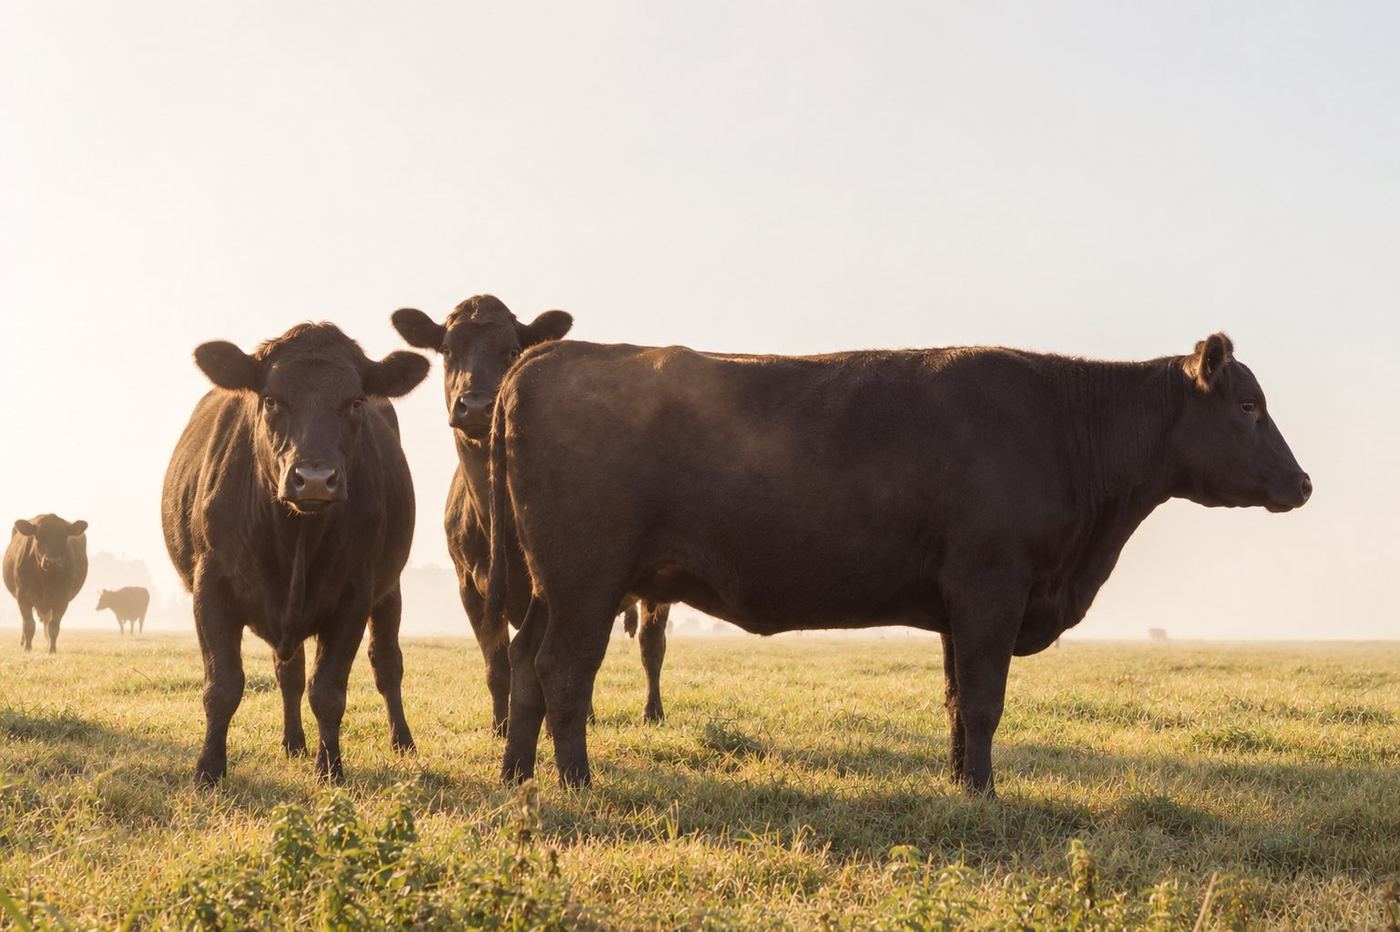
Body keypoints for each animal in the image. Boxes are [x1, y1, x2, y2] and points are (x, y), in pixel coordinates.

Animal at [4, 514, 88, 654]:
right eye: (38, 536)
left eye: (64, 536)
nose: (52, 562)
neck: (45, 578)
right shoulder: (23, 597)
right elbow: (29, 625)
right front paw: (27, 648)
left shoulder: (62, 599)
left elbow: (53, 626)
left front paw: (52, 650)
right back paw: (23, 643)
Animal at [161, 322, 429, 783]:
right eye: (271, 399)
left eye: (355, 401)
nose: (315, 479)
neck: (295, 535)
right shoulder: (210, 587)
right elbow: (223, 686)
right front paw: (209, 769)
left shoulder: (355, 595)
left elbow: (329, 691)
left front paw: (331, 769)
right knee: (289, 672)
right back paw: (292, 742)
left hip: (389, 590)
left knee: (386, 663)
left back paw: (402, 741)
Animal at [391, 295, 672, 730]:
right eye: (447, 350)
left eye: (511, 350)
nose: (476, 406)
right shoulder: (470, 587)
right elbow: (497, 665)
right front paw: (500, 725)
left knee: (651, 645)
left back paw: (652, 711)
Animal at [486, 333, 1311, 794]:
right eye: (1247, 406)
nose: (1302, 483)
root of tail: (544, 356)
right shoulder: (991, 587)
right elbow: (984, 701)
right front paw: (985, 794)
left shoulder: (958, 603)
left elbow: (956, 700)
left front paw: (960, 784)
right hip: (586, 582)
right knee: (564, 673)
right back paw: (578, 783)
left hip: (549, 588)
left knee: (525, 663)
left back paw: (517, 775)